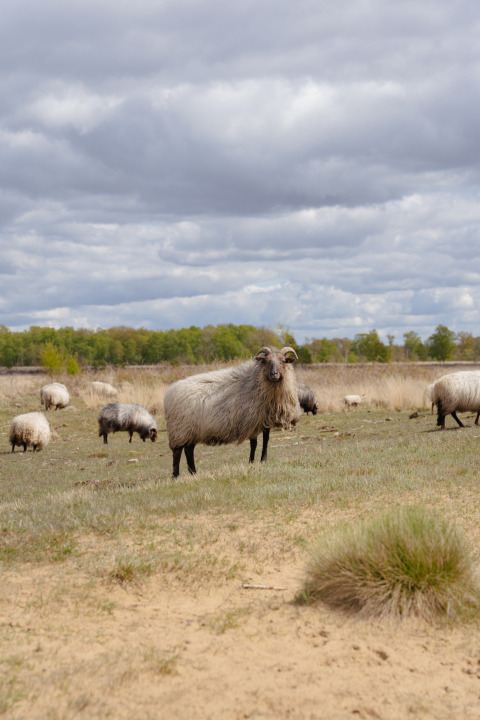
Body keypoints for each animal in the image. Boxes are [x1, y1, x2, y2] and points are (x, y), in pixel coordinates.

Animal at [164, 346, 301, 477]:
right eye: (266, 361)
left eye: (283, 361)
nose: (274, 374)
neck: (256, 382)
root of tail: (169, 393)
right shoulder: (253, 419)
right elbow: (256, 442)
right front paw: (256, 461)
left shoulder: (261, 419)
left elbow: (262, 441)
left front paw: (257, 460)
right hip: (179, 430)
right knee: (177, 452)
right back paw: (176, 476)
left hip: (190, 431)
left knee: (189, 450)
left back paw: (193, 473)